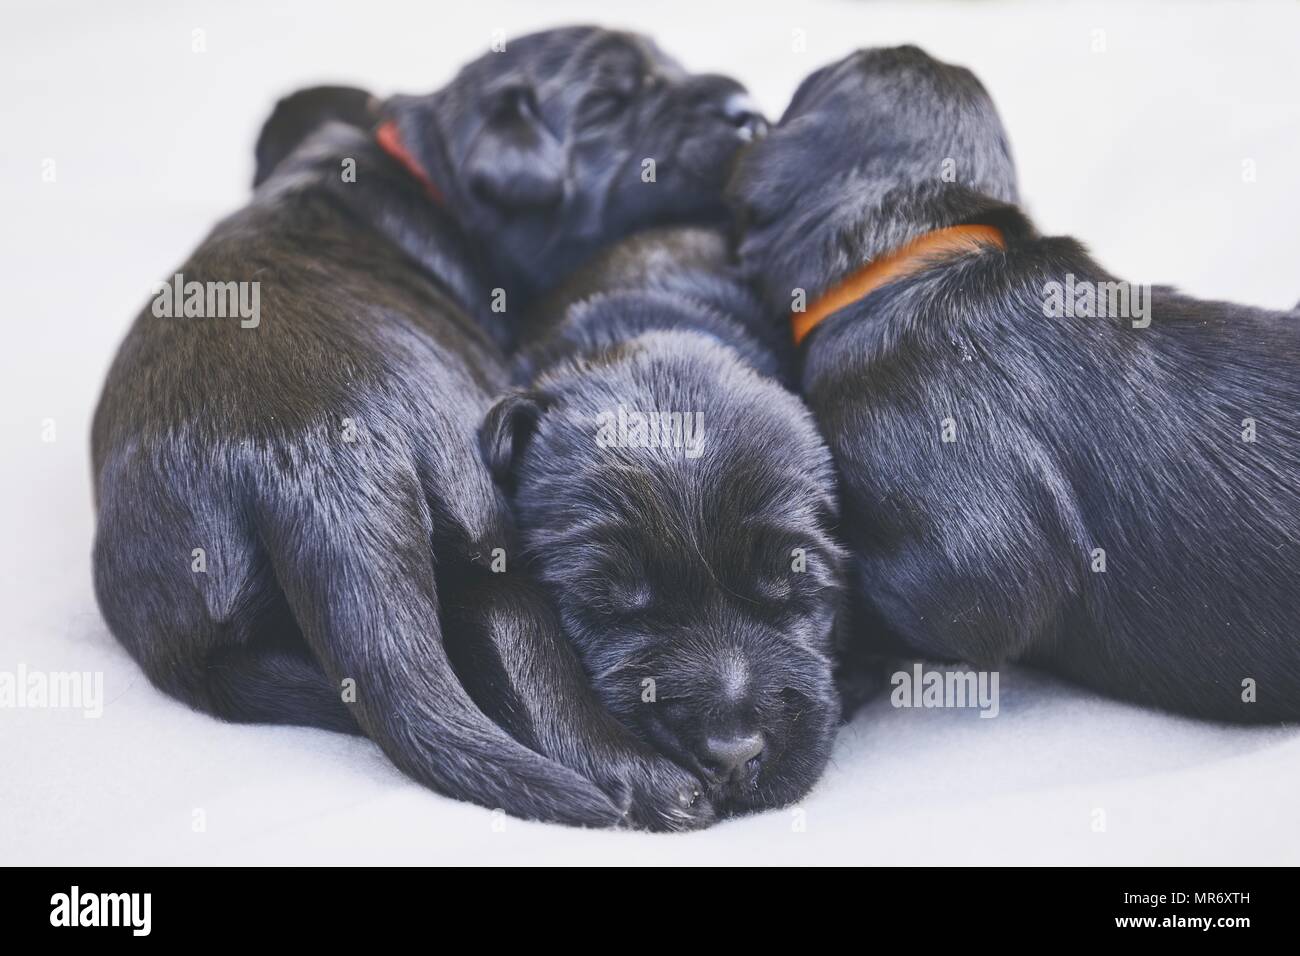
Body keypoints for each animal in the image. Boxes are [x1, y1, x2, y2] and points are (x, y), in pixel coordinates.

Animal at [96, 26, 764, 827]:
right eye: (609, 102)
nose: (749, 109)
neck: (427, 170)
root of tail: (308, 460)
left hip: (196, 641)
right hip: (479, 512)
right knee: (517, 640)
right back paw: (653, 781)